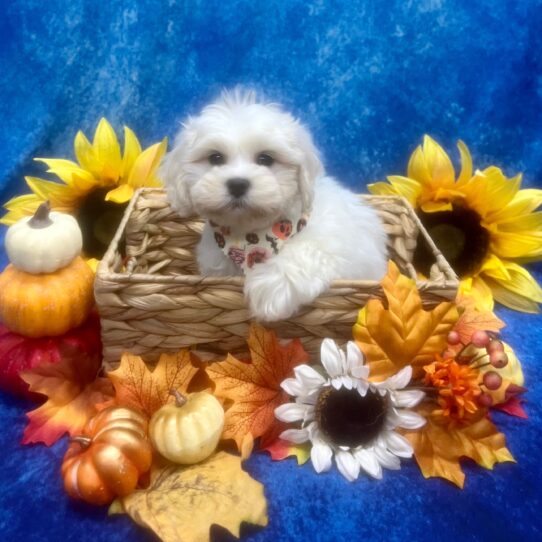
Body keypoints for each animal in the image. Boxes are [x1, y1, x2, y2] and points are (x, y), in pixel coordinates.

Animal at [164, 90, 388, 324]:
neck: (249, 236)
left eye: (265, 158)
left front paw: (271, 287)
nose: (237, 184)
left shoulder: (338, 246)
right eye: (215, 158)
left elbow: (307, 251)